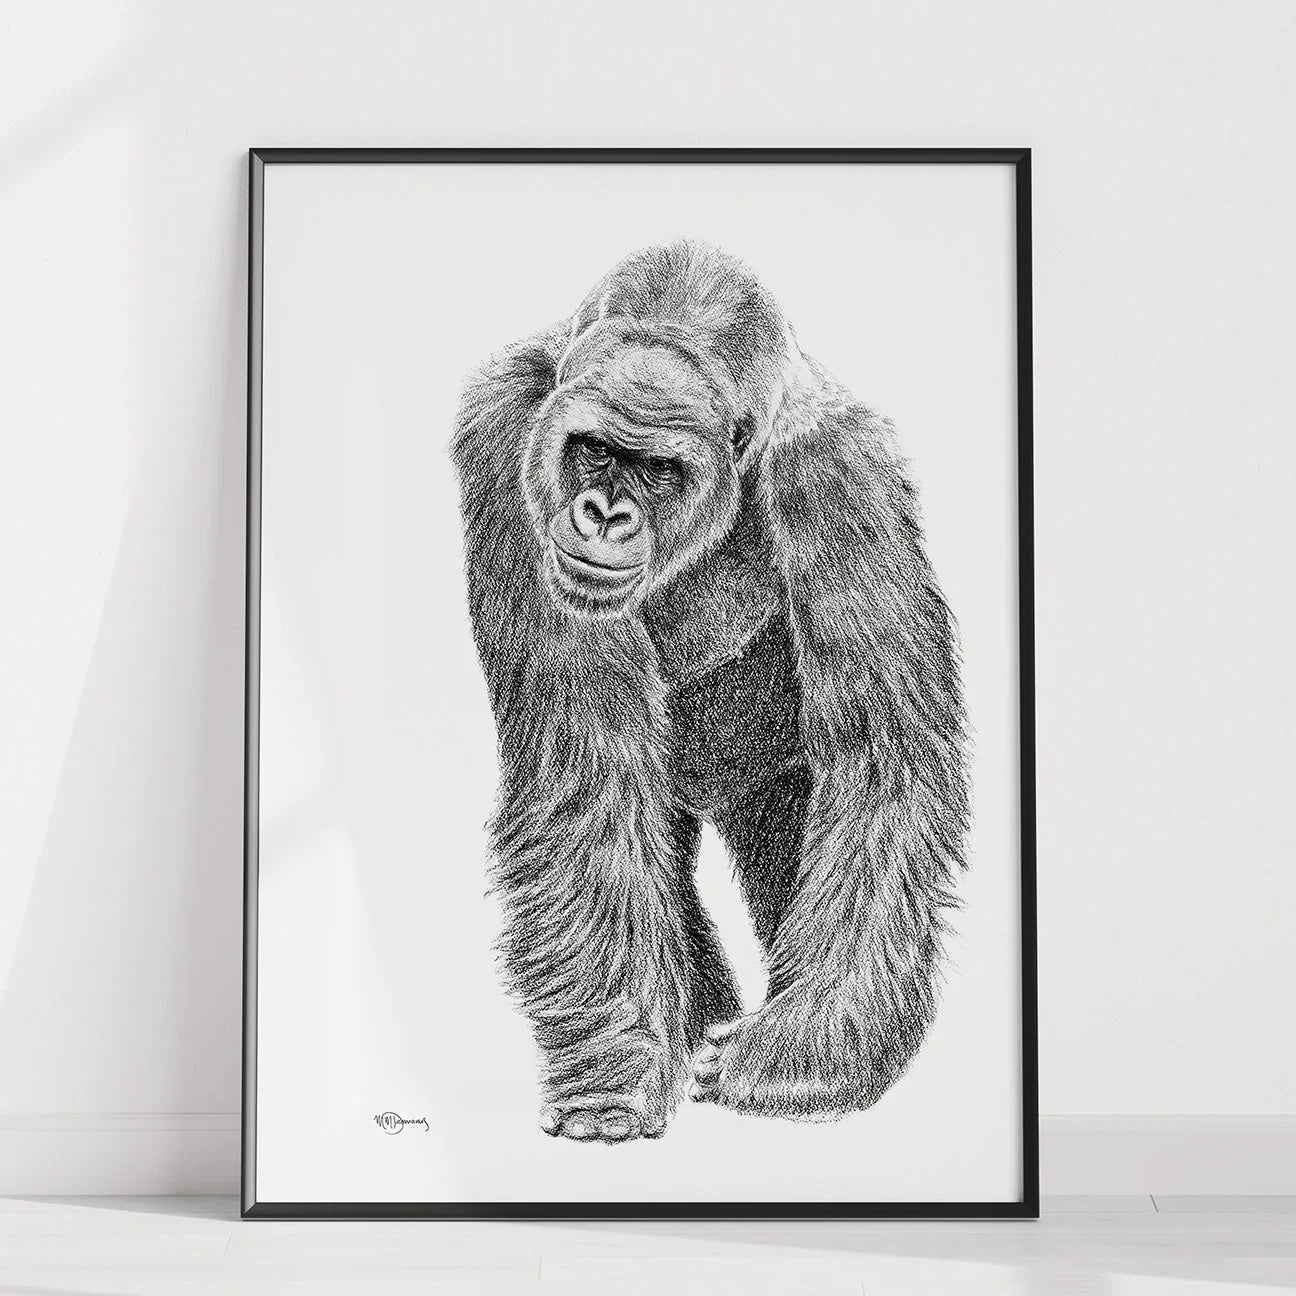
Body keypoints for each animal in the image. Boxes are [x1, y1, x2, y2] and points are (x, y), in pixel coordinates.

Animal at [452, 239, 968, 1143]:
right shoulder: (506, 428)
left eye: (659, 468)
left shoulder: (841, 474)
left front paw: (803, 1057)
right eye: (595, 449)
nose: (602, 514)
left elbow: (880, 761)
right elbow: (590, 778)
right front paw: (614, 1073)